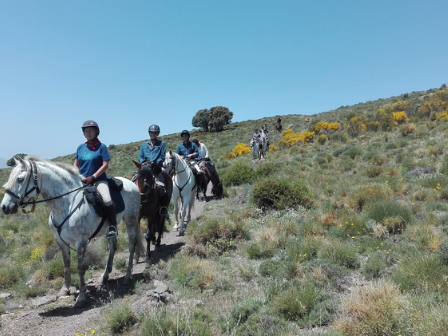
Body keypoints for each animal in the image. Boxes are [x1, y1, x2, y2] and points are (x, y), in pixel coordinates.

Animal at [0, 156, 144, 308]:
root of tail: (131, 183)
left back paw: (127, 276)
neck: (67, 203)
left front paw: (81, 296)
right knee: (112, 247)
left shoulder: (80, 241)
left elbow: (80, 268)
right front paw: (65, 289)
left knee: (131, 245)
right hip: (111, 228)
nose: (4, 207)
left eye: (20, 179)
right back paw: (104, 277)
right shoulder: (60, 241)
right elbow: (66, 264)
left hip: (130, 219)